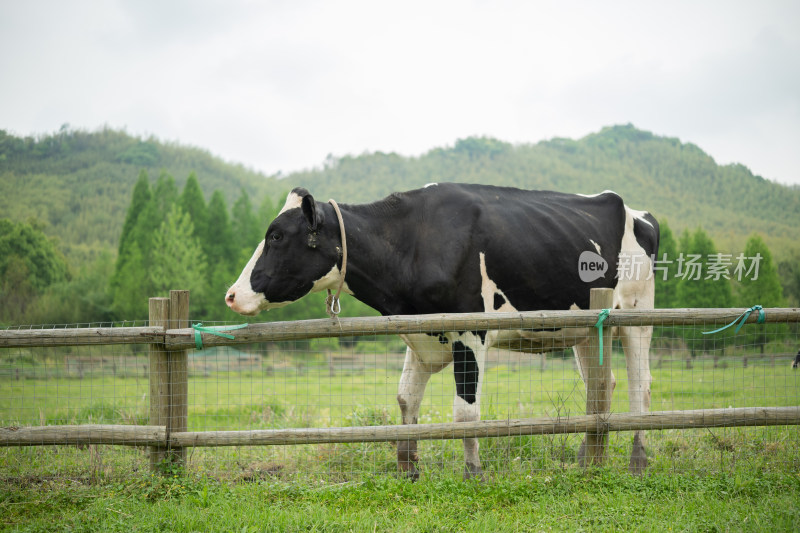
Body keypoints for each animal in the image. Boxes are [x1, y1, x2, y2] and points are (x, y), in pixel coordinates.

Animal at [227, 183, 664, 478]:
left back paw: (637, 461)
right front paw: (408, 467)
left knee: (639, 386)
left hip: (636, 313)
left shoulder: (471, 332)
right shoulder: (420, 333)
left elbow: (465, 412)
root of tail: (637, 211)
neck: (411, 241)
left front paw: (473, 473)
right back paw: (588, 460)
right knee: (601, 385)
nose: (232, 295)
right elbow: (406, 399)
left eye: (277, 235)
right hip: (586, 328)